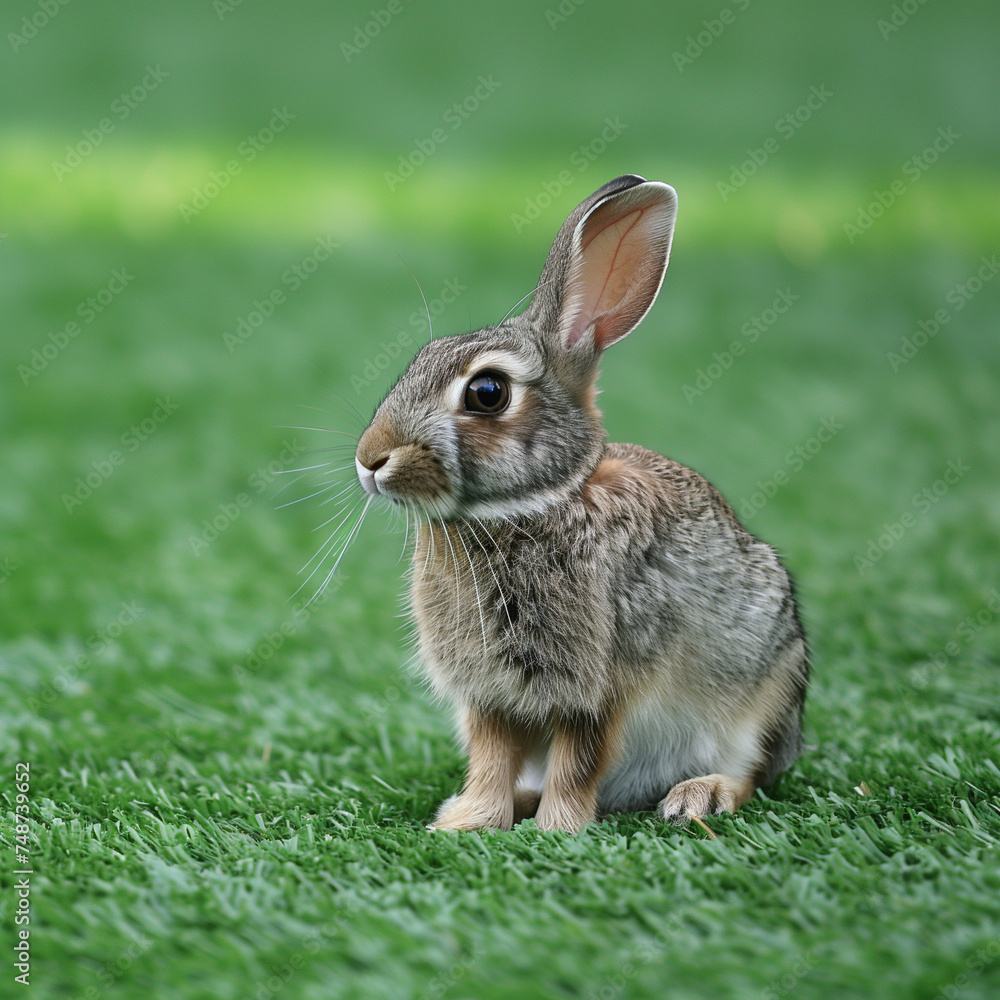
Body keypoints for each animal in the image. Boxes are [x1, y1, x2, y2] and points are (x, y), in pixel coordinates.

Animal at [354, 174, 809, 832]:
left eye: (487, 392)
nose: (370, 459)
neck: (533, 505)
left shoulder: (601, 683)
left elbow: (579, 757)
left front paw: (558, 829)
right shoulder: (490, 694)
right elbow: (491, 758)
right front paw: (467, 821)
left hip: (767, 692)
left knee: (752, 773)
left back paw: (699, 796)